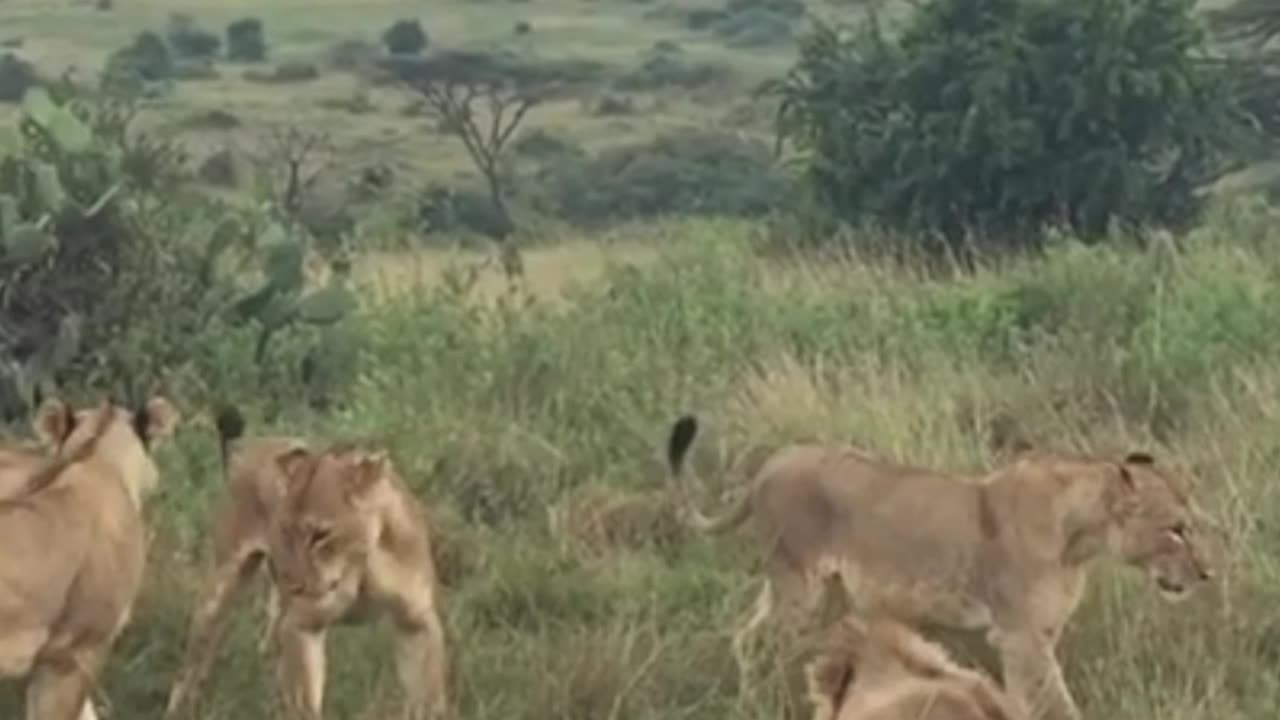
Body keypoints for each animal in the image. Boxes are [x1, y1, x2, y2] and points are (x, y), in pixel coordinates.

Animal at [163, 409, 450, 717]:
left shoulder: (416, 621)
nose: (295, 584)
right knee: (194, 658)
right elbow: (305, 703)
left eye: (320, 535)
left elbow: (428, 700)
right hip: (222, 584)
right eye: (285, 529)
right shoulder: (303, 625)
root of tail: (255, 444)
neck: (361, 563)